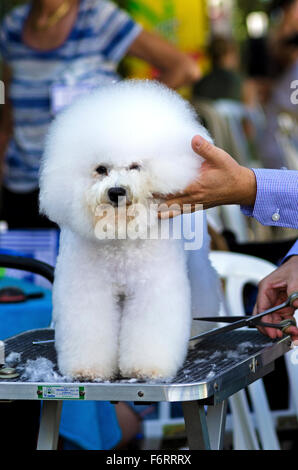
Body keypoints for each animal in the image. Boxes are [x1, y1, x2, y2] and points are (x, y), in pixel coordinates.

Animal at [39, 80, 220, 382]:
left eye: (135, 166)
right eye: (101, 169)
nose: (116, 192)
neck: (120, 235)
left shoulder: (153, 287)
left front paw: (146, 368)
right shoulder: (88, 287)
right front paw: (87, 369)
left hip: (196, 265)